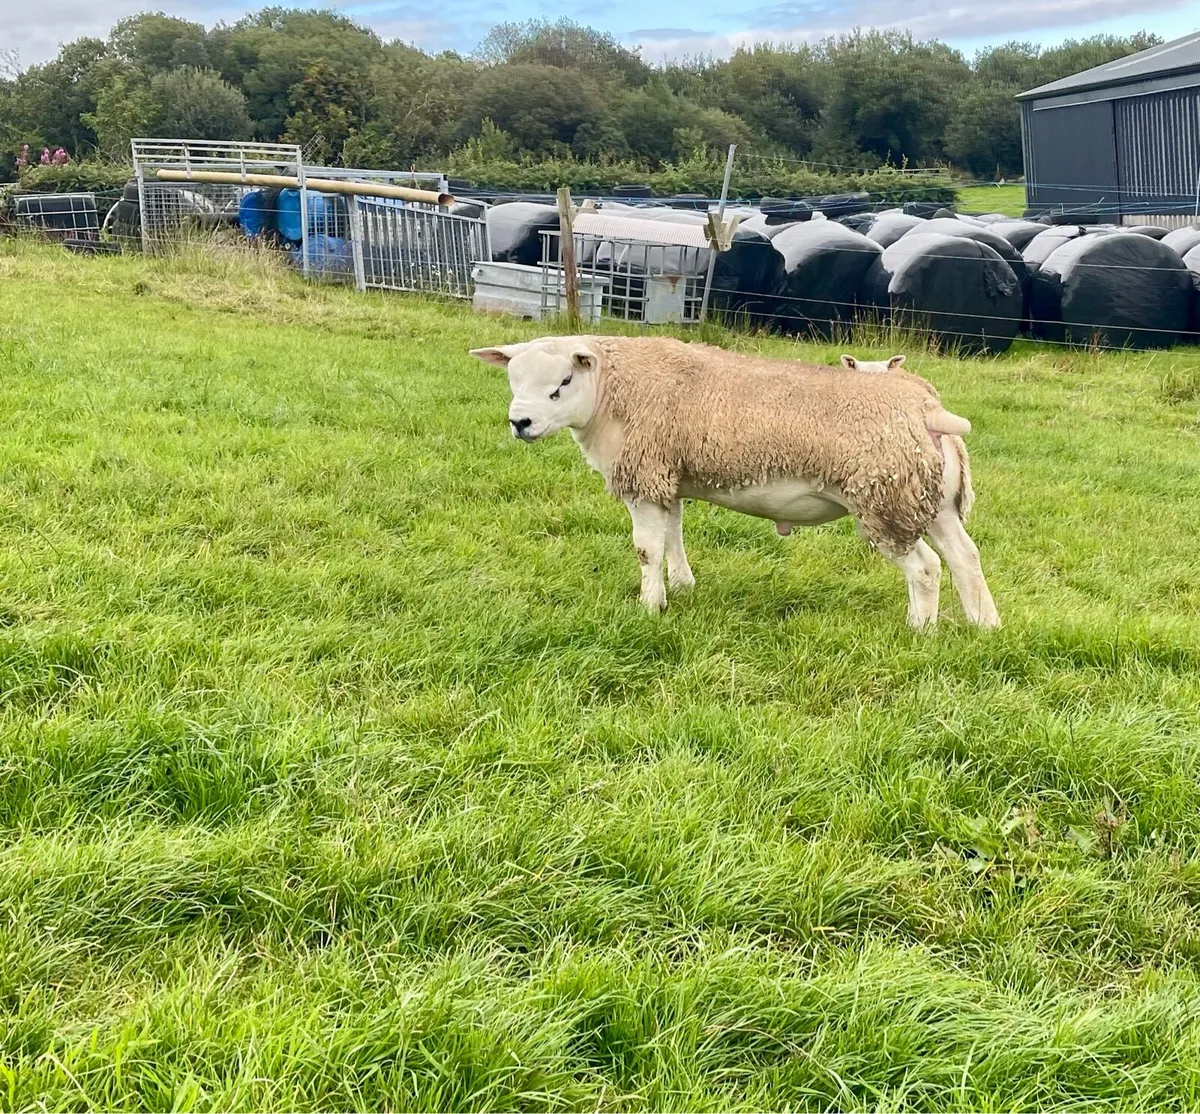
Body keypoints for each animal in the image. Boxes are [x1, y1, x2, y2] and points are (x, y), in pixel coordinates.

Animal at [471, 335, 1000, 629]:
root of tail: (928, 408)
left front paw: (650, 607)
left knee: (926, 568)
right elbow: (674, 535)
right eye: (512, 380)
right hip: (931, 500)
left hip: (886, 500)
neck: (609, 392)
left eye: (563, 383)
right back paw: (984, 626)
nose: (520, 423)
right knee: (965, 558)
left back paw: (920, 630)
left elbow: (647, 549)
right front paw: (682, 587)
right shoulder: (668, 476)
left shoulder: (643, 476)